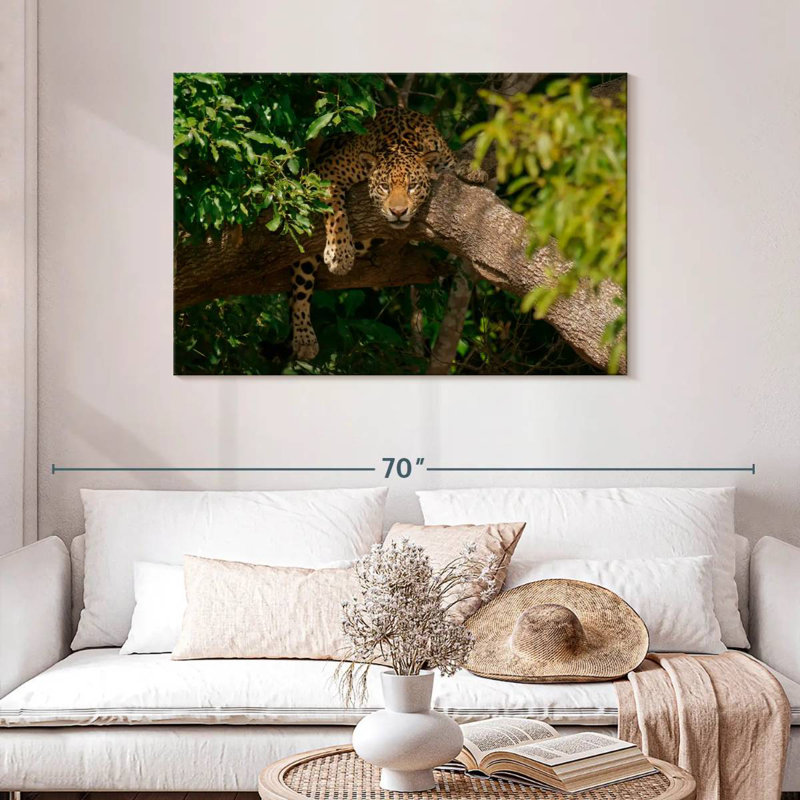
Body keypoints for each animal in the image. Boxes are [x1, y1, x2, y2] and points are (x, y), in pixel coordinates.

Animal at [289, 107, 487, 360]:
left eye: (412, 186)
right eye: (384, 187)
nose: (398, 212)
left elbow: (453, 162)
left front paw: (472, 170)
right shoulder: (328, 172)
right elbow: (336, 212)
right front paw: (340, 253)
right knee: (299, 291)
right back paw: (304, 337)